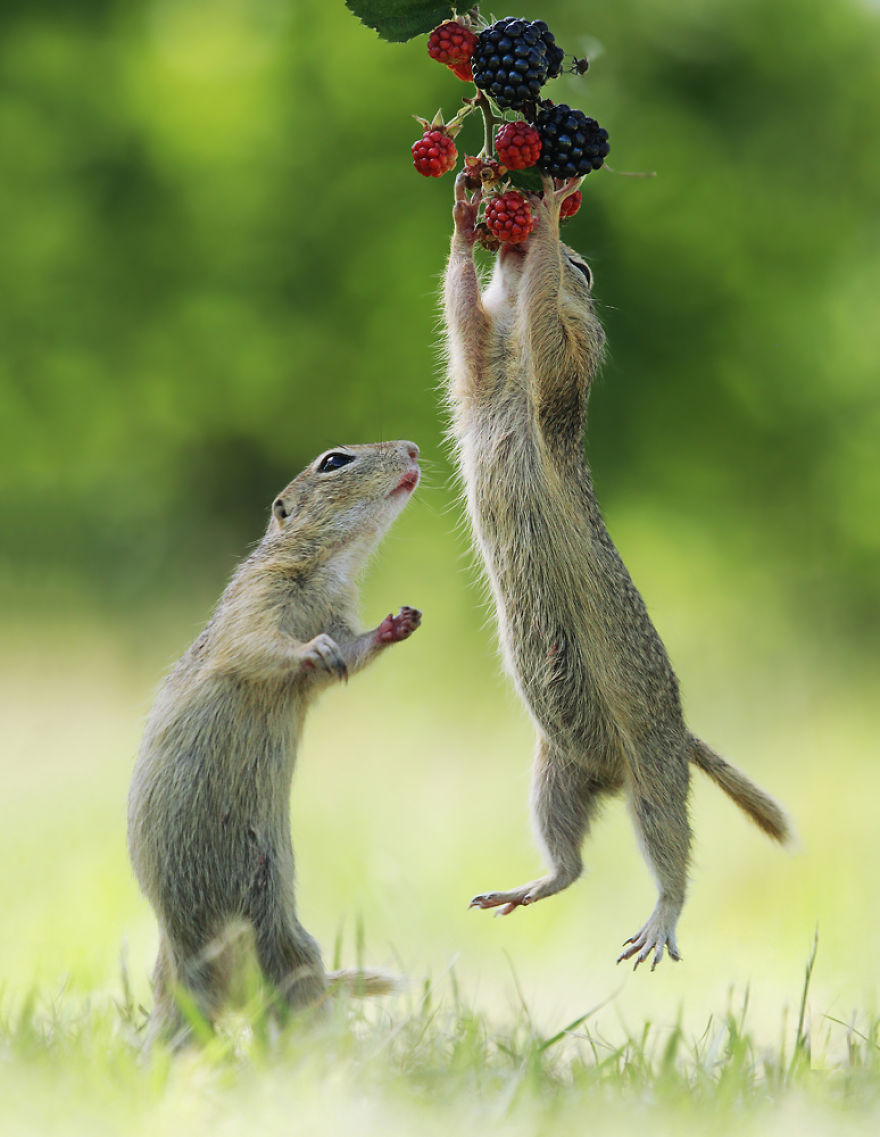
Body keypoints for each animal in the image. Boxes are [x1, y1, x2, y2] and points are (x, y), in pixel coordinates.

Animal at [128, 440, 422, 1044]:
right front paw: (312, 650)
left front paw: (397, 624)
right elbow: (259, 644)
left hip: (283, 943)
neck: (331, 566)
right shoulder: (255, 598)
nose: (413, 448)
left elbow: (351, 654)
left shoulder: (337, 617)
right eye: (334, 461)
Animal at [443, 173, 791, 969]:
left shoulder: (564, 363)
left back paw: (661, 919)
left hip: (654, 774)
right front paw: (466, 217)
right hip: (554, 772)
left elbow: (547, 323)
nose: (509, 233)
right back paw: (524, 886)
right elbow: (464, 317)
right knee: (572, 864)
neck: (510, 369)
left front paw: (541, 220)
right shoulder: (480, 367)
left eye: (585, 267)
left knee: (672, 850)